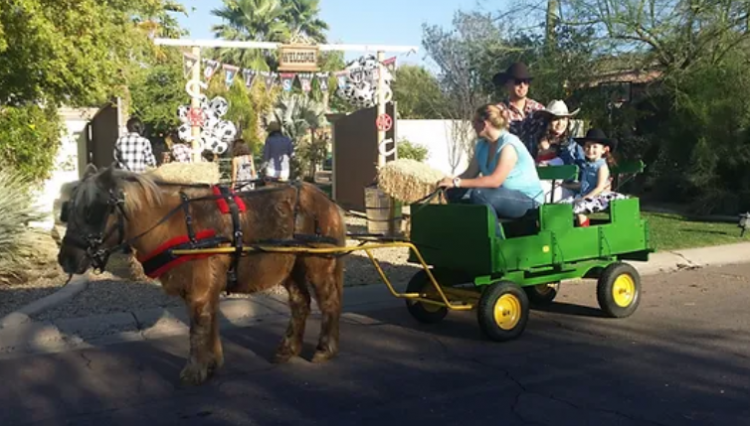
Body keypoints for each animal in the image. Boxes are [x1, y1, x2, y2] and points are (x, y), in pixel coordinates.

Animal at [56, 165, 350, 384]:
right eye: (68, 210)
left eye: (91, 210)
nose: (65, 258)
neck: (175, 223)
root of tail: (327, 201)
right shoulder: (206, 287)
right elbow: (211, 323)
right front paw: (212, 363)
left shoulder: (199, 287)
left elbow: (197, 328)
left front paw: (194, 370)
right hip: (291, 265)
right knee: (301, 303)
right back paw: (287, 349)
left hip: (318, 264)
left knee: (329, 302)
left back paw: (325, 349)